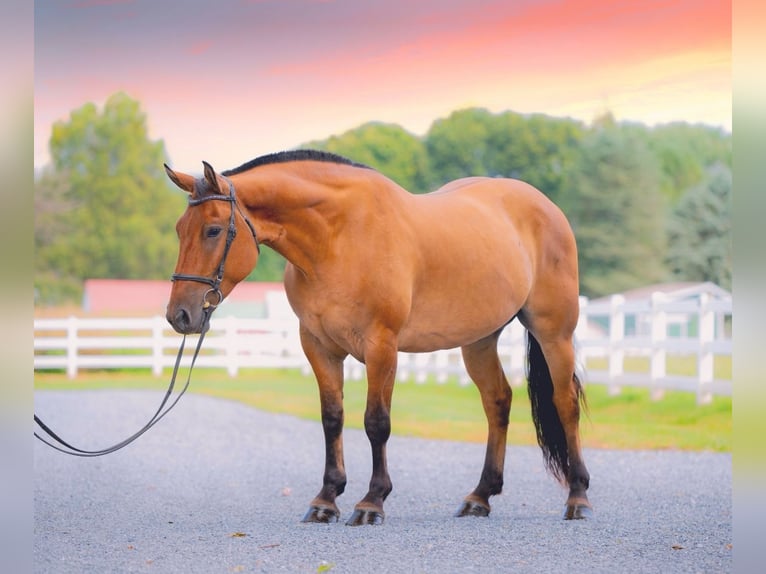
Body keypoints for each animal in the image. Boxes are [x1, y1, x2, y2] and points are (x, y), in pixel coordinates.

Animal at [165, 150, 592, 528]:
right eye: (179, 230)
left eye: (213, 230)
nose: (179, 315)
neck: (340, 238)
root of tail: (545, 206)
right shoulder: (318, 346)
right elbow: (332, 419)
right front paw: (325, 501)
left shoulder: (381, 346)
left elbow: (376, 422)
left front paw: (371, 502)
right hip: (480, 340)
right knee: (497, 401)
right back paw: (480, 497)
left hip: (554, 332)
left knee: (565, 402)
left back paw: (578, 497)